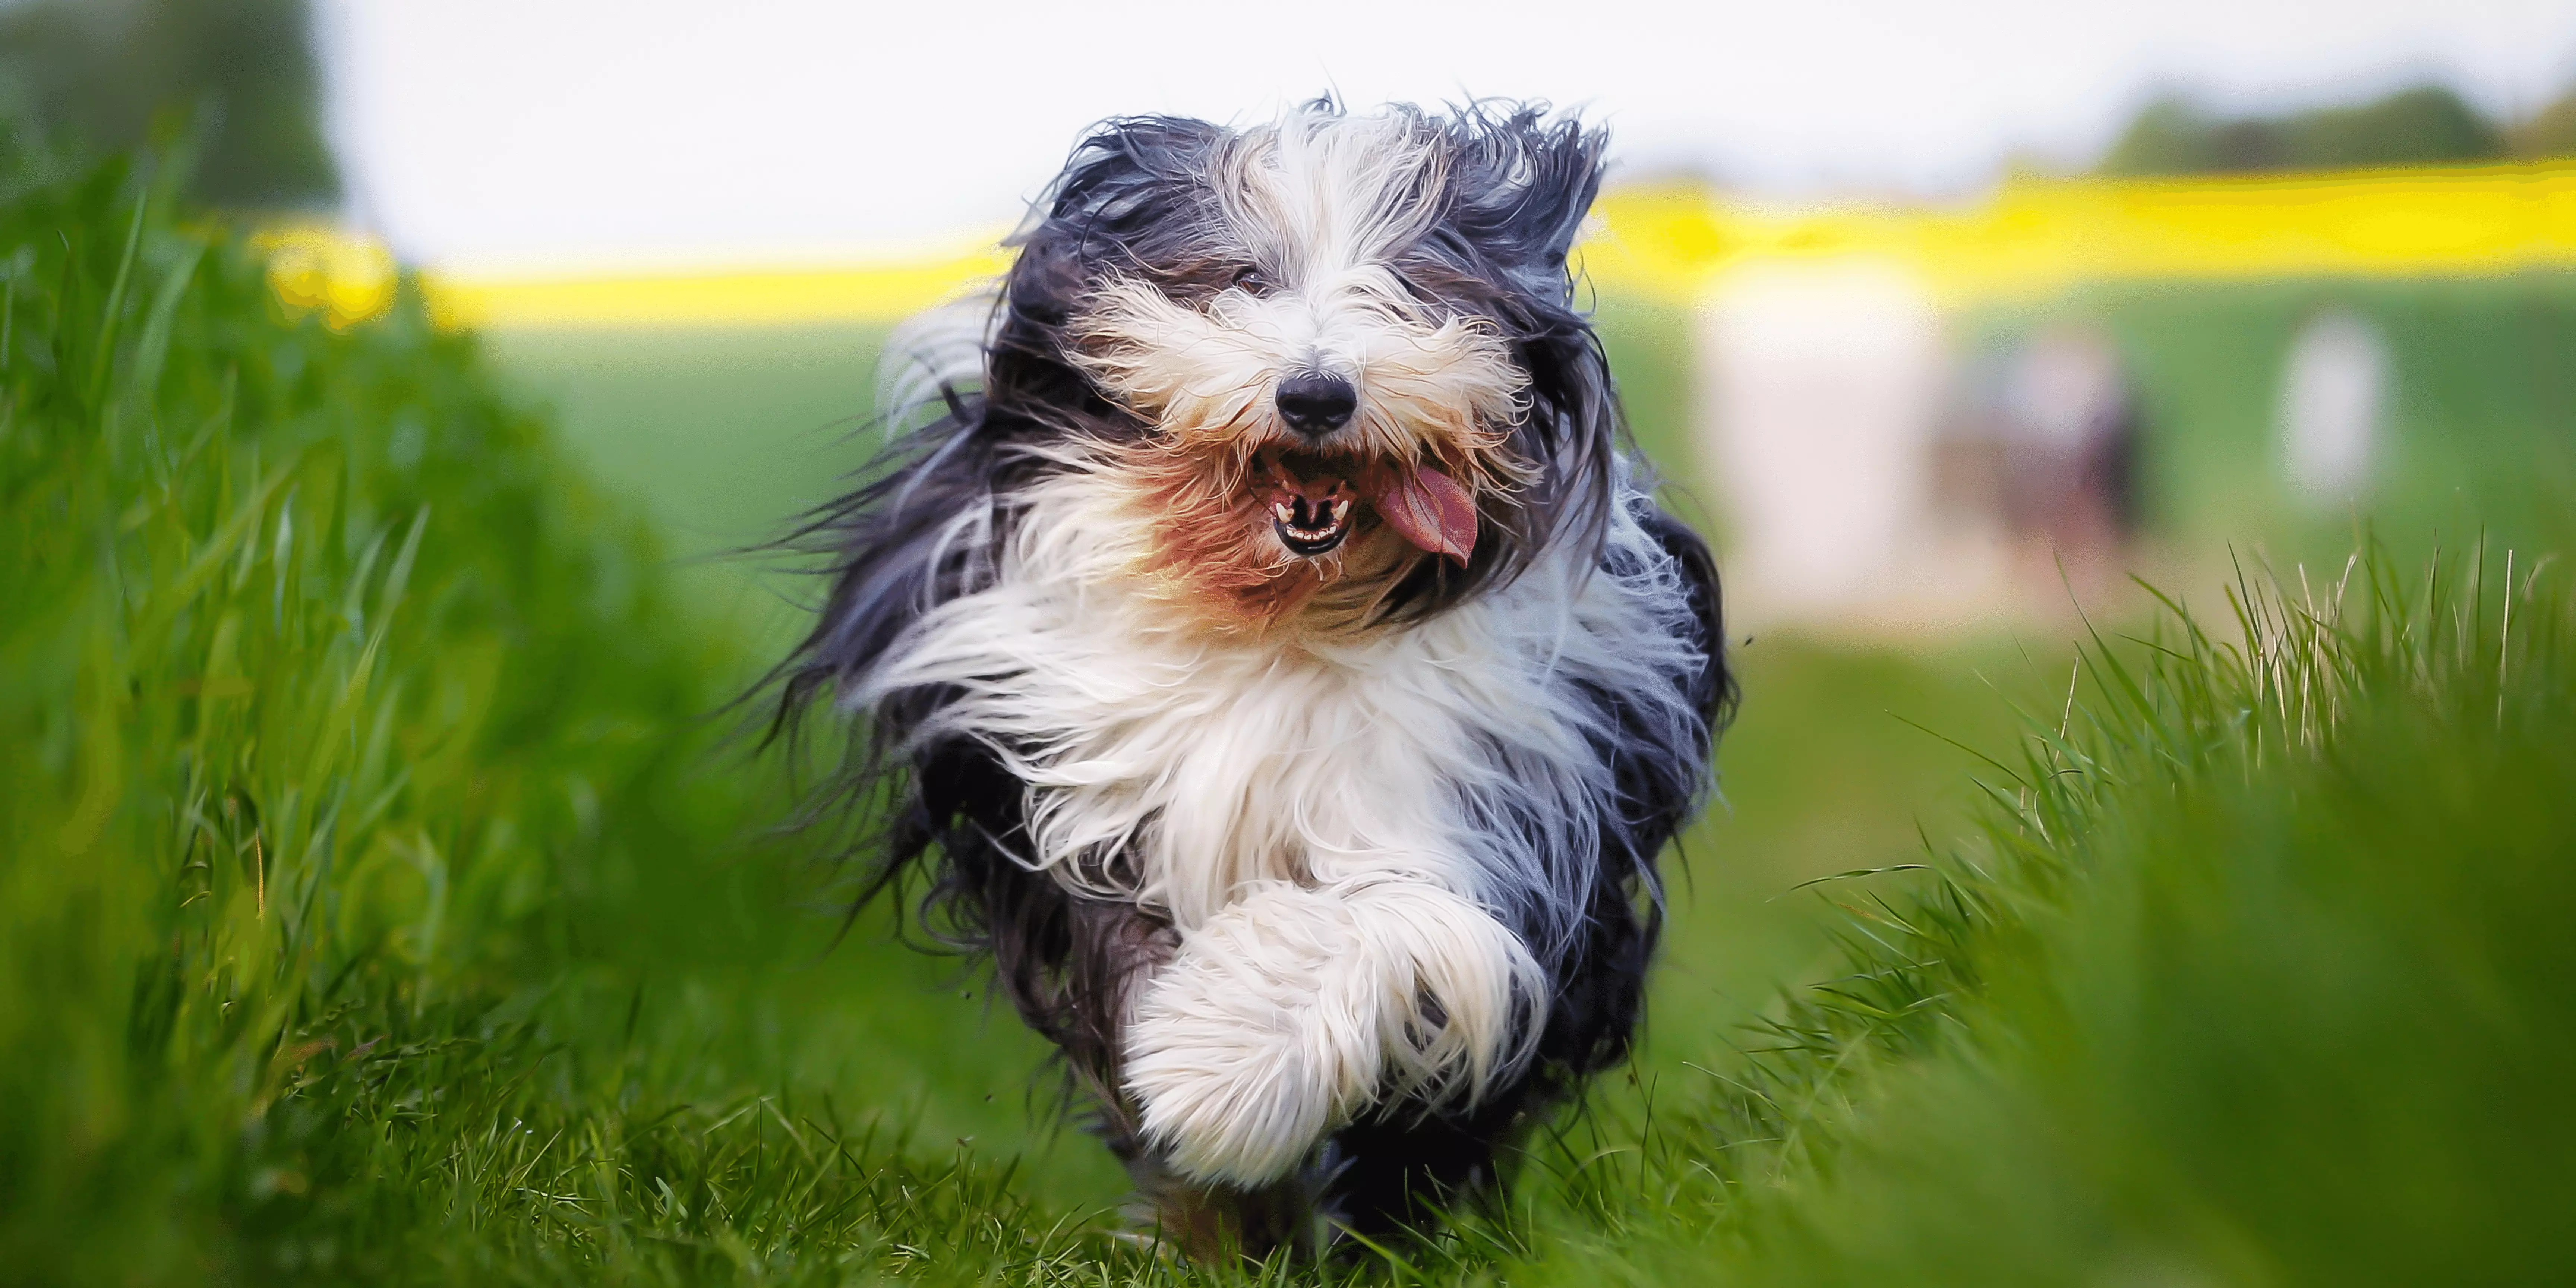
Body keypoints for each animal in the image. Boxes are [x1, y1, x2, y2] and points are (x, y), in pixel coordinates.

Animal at [767, 100, 1731, 1257]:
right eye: (1238, 276)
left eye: (1410, 285)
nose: (1316, 394)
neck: (1284, 621)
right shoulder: (1080, 787)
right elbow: (1119, 958)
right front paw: (1203, 1163)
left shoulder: (1486, 807)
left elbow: (1376, 925)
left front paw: (1225, 1068)